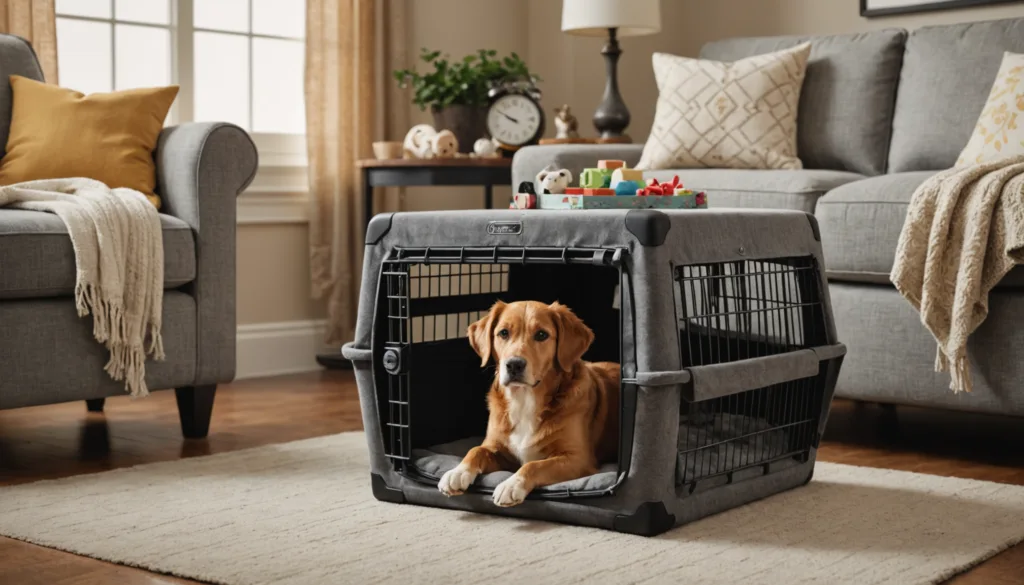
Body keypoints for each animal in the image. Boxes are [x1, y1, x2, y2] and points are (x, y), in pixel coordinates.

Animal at [438, 301, 618, 508]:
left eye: (541, 335)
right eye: (503, 333)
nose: (514, 364)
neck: (524, 401)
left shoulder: (578, 458)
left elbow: (534, 465)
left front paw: (511, 485)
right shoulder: (500, 450)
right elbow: (477, 450)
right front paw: (458, 472)